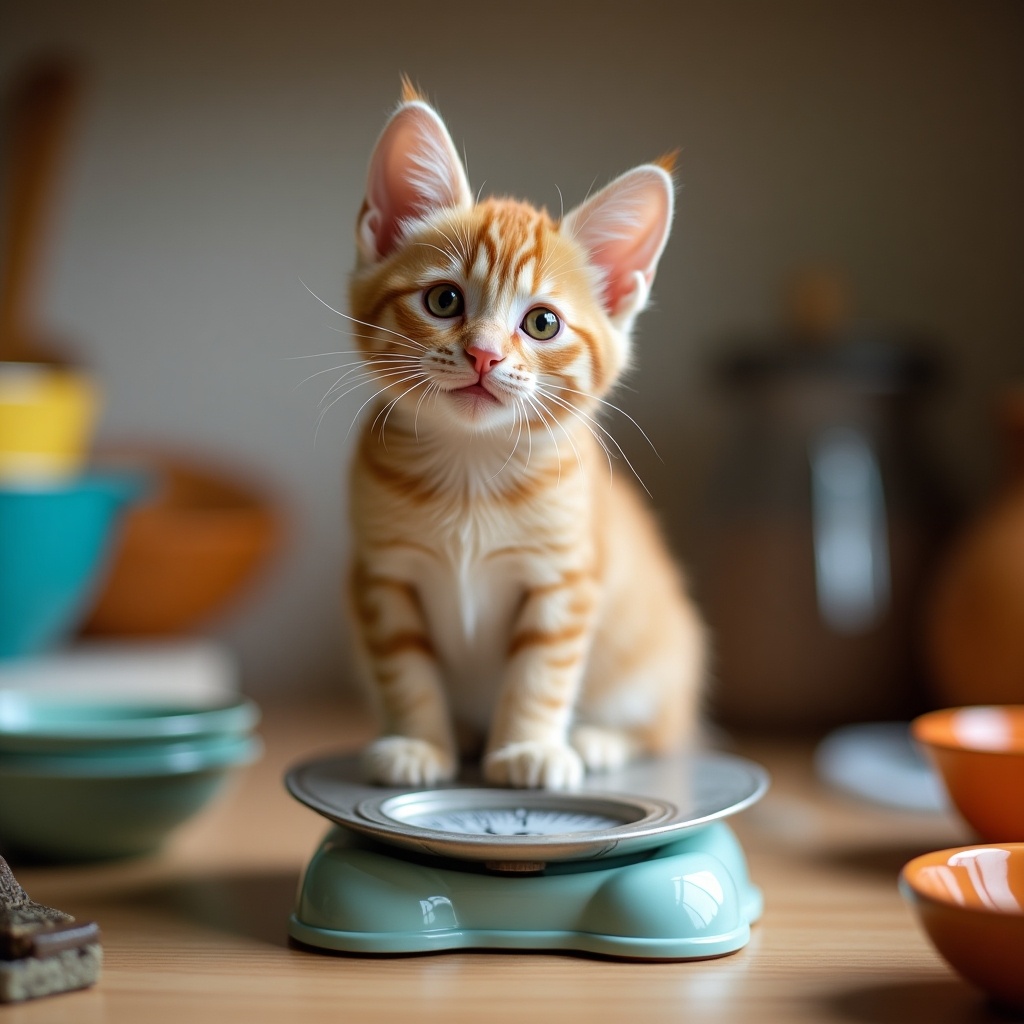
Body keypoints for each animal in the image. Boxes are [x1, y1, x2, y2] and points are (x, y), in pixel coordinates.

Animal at [344, 83, 704, 790]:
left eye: (542, 323)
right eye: (445, 301)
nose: (483, 355)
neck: (470, 470)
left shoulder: (566, 580)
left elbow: (541, 672)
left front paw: (527, 749)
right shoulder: (379, 576)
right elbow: (404, 669)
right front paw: (419, 743)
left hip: (656, 655)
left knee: (664, 731)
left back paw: (598, 740)